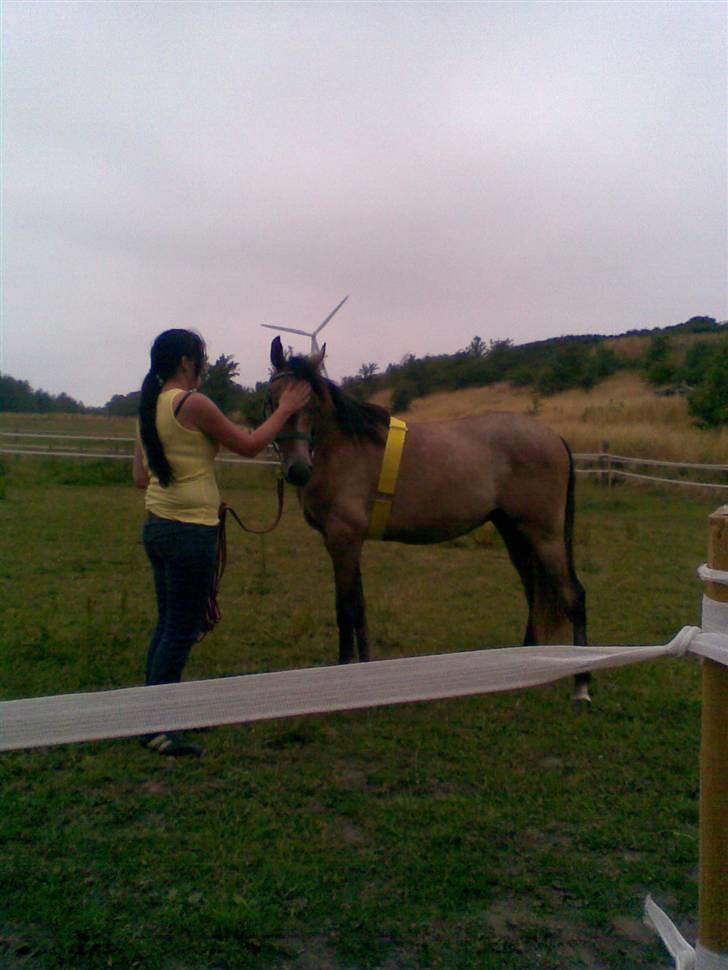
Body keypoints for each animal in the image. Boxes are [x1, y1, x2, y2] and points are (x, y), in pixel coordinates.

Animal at [268, 336, 592, 700]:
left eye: (313, 403)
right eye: (274, 400)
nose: (298, 469)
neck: (344, 449)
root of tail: (554, 437)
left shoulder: (343, 539)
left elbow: (346, 608)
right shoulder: (345, 542)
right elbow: (359, 608)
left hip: (545, 535)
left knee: (573, 595)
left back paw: (582, 685)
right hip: (514, 532)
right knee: (534, 592)